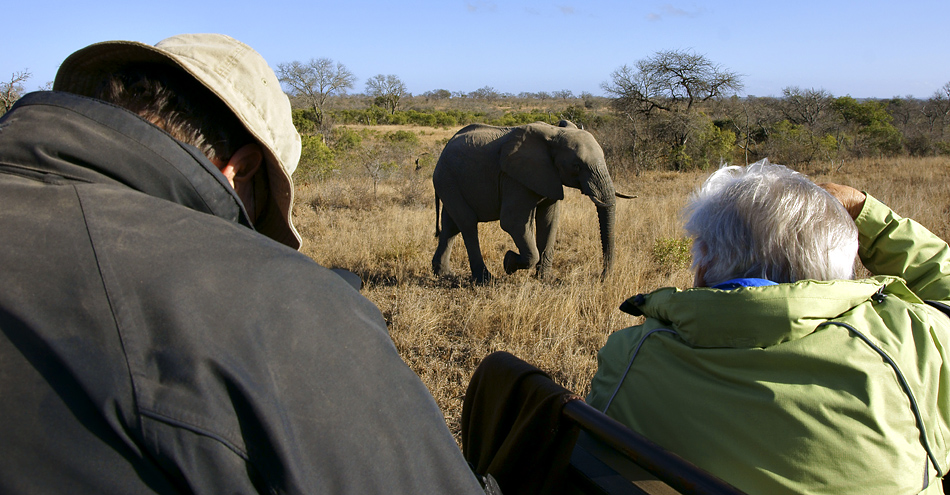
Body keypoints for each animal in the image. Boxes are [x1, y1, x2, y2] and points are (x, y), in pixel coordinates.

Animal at [434, 120, 632, 284]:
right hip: (447, 178)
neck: (554, 134)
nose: (602, 278)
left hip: (449, 182)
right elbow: (513, 222)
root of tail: (444, 149)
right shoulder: (514, 178)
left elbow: (549, 221)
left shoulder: (550, 176)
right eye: (577, 166)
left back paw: (443, 274)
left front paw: (544, 279)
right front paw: (508, 262)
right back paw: (485, 279)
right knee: (467, 224)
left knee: (451, 226)